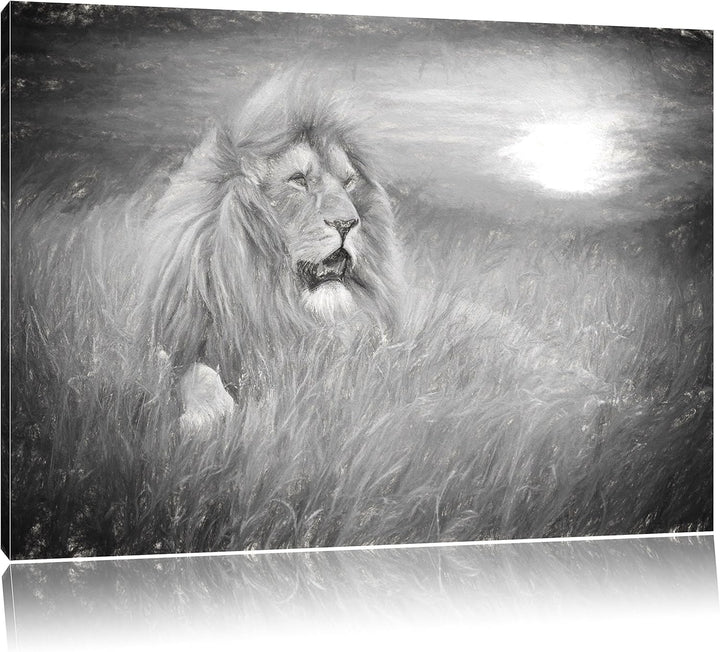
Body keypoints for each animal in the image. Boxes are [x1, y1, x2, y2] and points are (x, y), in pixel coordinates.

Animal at [137, 73, 405, 430]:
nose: (347, 222)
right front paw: (208, 415)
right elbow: (193, 374)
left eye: (348, 182)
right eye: (298, 180)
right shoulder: (181, 347)